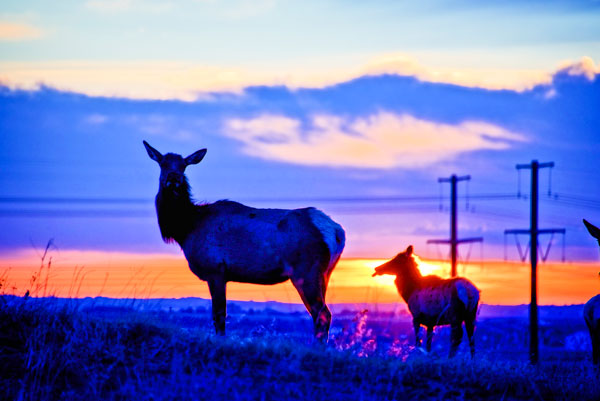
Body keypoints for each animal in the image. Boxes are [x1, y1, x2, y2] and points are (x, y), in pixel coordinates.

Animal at [142, 141, 344, 340]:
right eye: (163, 163)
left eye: (183, 165)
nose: (174, 178)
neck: (186, 228)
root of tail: (337, 231)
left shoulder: (215, 269)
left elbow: (219, 316)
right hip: (324, 273)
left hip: (306, 272)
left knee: (323, 314)